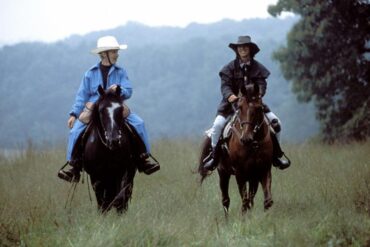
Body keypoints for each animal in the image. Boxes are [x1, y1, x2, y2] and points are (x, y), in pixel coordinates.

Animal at [199, 84, 274, 215]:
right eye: (239, 107)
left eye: (259, 108)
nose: (246, 139)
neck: (253, 144)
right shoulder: (240, 173)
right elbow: (244, 201)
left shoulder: (263, 170)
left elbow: (267, 200)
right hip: (223, 173)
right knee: (226, 200)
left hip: (252, 177)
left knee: (251, 198)